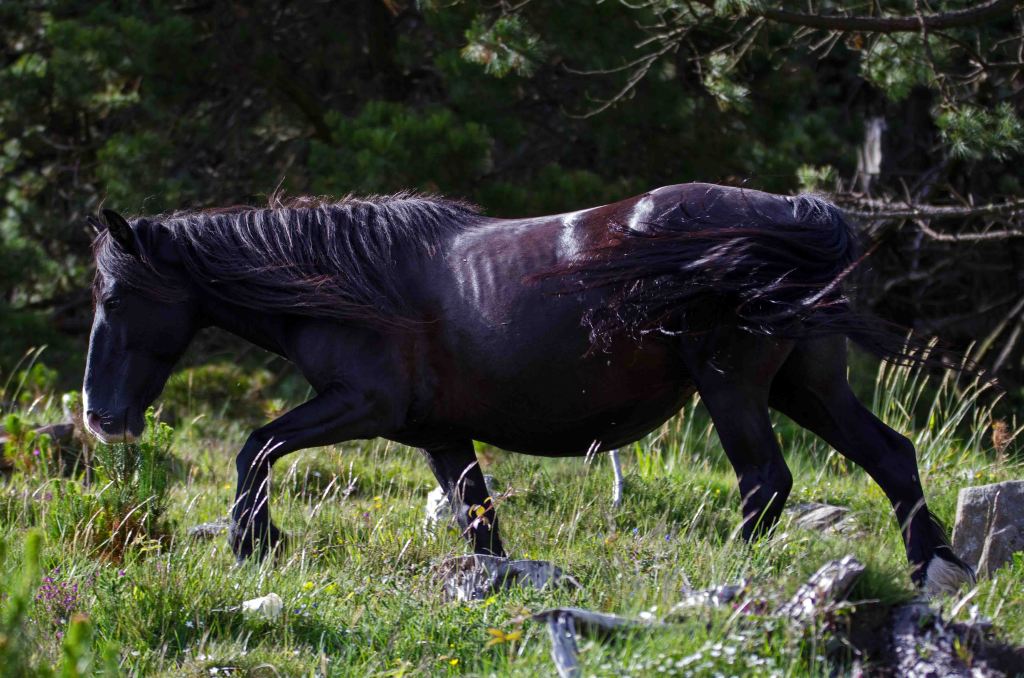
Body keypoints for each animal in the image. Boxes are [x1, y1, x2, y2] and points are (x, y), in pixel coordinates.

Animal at [82, 183, 976, 594]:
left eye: (116, 298)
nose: (100, 418)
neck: (353, 281)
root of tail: (797, 213)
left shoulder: (360, 406)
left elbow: (255, 446)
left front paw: (254, 542)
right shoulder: (440, 435)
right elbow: (480, 522)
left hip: (735, 388)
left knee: (766, 481)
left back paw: (722, 572)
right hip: (805, 386)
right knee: (891, 458)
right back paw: (936, 570)